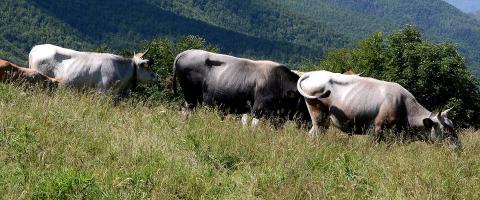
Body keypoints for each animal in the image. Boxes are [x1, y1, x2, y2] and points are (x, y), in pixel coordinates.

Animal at [171, 49, 310, 126]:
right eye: (307, 102)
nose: (311, 121)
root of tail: (185, 52)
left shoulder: (278, 118)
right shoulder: (260, 110)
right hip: (191, 96)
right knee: (187, 112)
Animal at [298, 70, 460, 147]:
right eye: (446, 130)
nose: (459, 147)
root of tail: (312, 73)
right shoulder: (378, 129)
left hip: (324, 120)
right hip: (318, 116)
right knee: (314, 134)